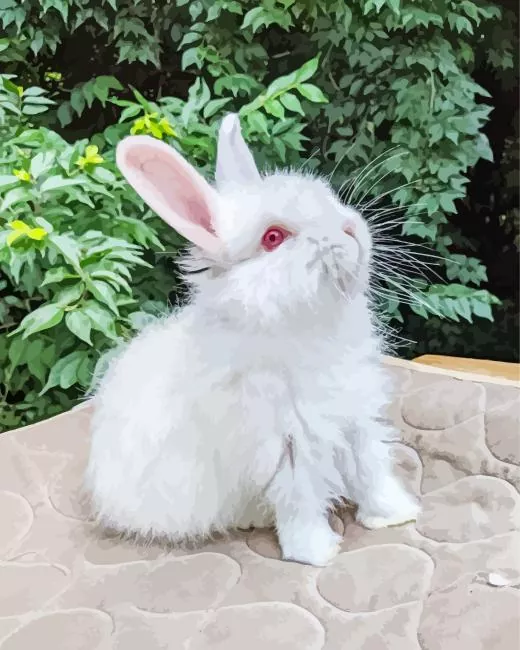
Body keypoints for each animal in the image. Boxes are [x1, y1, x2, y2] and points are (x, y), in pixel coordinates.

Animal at [84, 113, 420, 567]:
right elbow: (300, 503)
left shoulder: (357, 421)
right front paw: (317, 554)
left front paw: (395, 516)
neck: (304, 327)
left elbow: (371, 470)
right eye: (273, 238)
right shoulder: (286, 448)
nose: (350, 229)